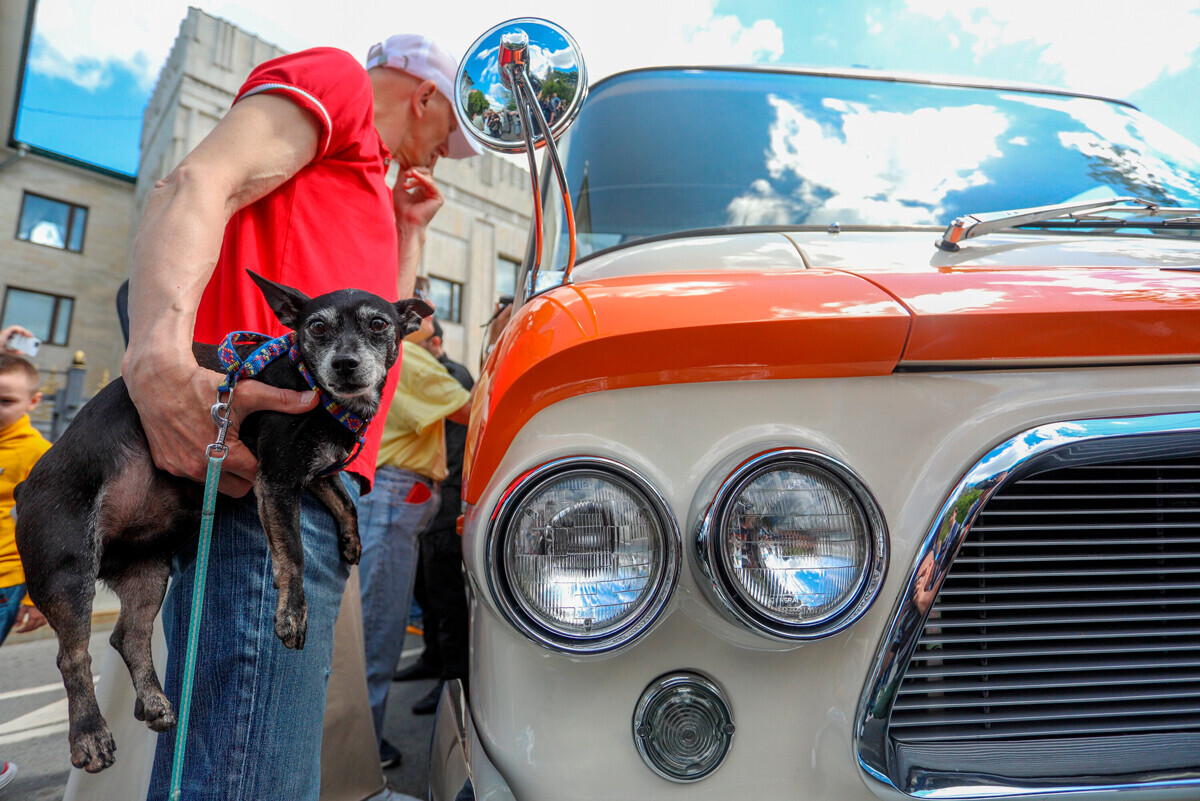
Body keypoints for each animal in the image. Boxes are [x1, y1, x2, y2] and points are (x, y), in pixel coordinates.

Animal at [12, 272, 432, 772]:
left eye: (378, 324)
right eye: (316, 328)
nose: (346, 363)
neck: (319, 392)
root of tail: (22, 488)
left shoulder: (308, 475)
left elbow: (344, 500)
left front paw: (350, 541)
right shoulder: (275, 481)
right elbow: (293, 553)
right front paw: (292, 615)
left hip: (148, 573)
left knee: (127, 636)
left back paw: (153, 701)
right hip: (67, 571)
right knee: (73, 657)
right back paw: (90, 736)